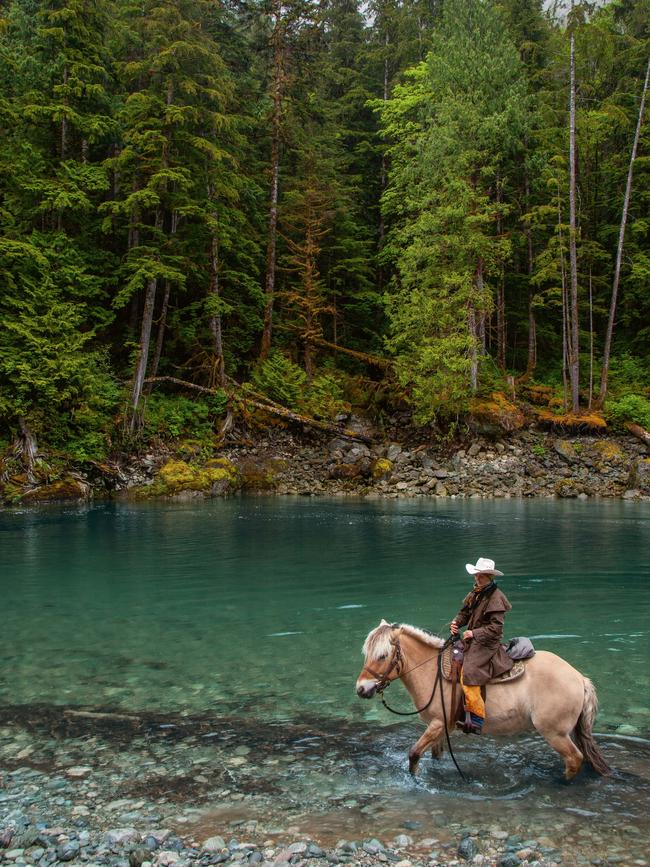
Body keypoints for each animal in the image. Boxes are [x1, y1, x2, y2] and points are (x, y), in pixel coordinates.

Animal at [354, 620, 608, 784]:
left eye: (382, 656)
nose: (361, 689)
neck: (431, 672)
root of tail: (579, 678)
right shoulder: (440, 727)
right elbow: (435, 755)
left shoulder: (437, 724)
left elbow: (414, 754)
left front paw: (414, 780)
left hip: (555, 733)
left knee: (574, 759)